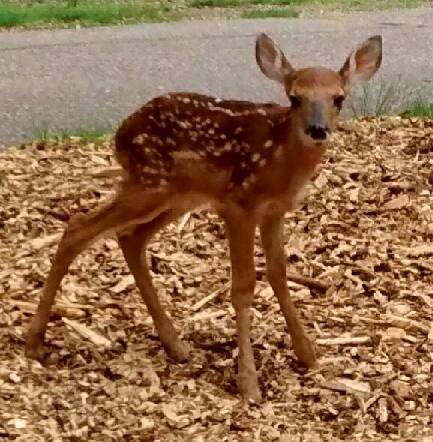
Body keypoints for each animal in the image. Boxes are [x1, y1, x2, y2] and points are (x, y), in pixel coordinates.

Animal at [25, 33, 380, 400]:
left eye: (339, 98)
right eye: (295, 98)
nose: (317, 129)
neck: (280, 158)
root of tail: (120, 135)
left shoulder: (274, 211)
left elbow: (279, 274)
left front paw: (307, 354)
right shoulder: (238, 204)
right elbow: (243, 287)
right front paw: (249, 383)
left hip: (176, 196)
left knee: (130, 237)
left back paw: (175, 345)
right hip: (150, 183)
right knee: (78, 228)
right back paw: (34, 342)